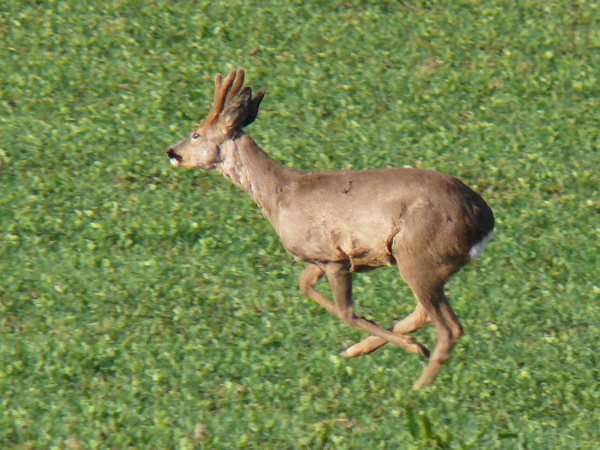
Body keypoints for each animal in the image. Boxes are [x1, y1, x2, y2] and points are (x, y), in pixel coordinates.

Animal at [166, 68, 494, 388]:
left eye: (195, 133)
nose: (171, 152)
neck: (281, 193)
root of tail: (484, 220)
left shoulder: (333, 258)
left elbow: (346, 313)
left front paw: (411, 347)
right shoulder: (318, 258)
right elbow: (305, 286)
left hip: (418, 254)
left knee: (449, 327)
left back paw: (417, 385)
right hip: (431, 265)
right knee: (424, 314)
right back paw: (361, 351)